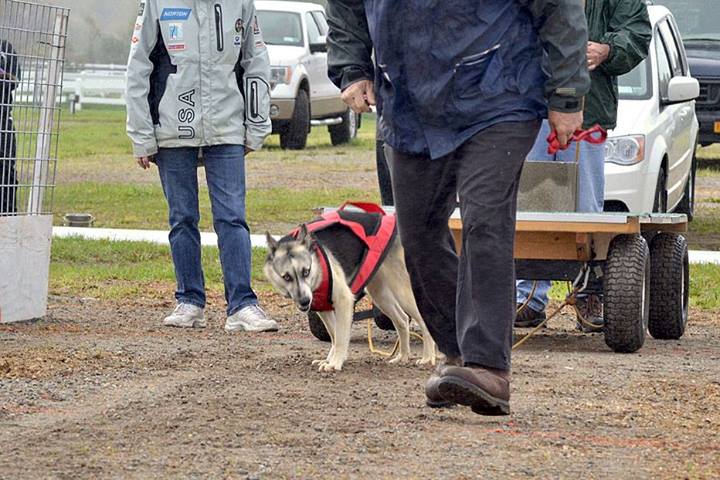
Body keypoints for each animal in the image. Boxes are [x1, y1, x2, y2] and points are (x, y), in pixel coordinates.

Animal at [262, 215, 436, 376]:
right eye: (287, 277)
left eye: (306, 271)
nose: (305, 301)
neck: (317, 267)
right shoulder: (324, 310)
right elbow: (334, 336)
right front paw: (330, 359)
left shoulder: (344, 302)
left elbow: (340, 338)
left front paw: (335, 363)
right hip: (380, 295)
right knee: (402, 319)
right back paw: (403, 356)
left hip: (401, 291)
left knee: (423, 321)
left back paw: (428, 357)